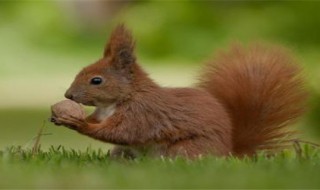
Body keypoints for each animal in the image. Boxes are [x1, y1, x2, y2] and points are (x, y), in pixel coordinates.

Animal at [53, 24, 308, 159]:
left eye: (96, 80)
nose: (68, 96)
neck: (118, 100)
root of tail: (229, 153)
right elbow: (99, 123)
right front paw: (63, 117)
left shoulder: (143, 114)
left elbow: (121, 132)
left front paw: (78, 123)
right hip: (125, 152)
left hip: (184, 149)